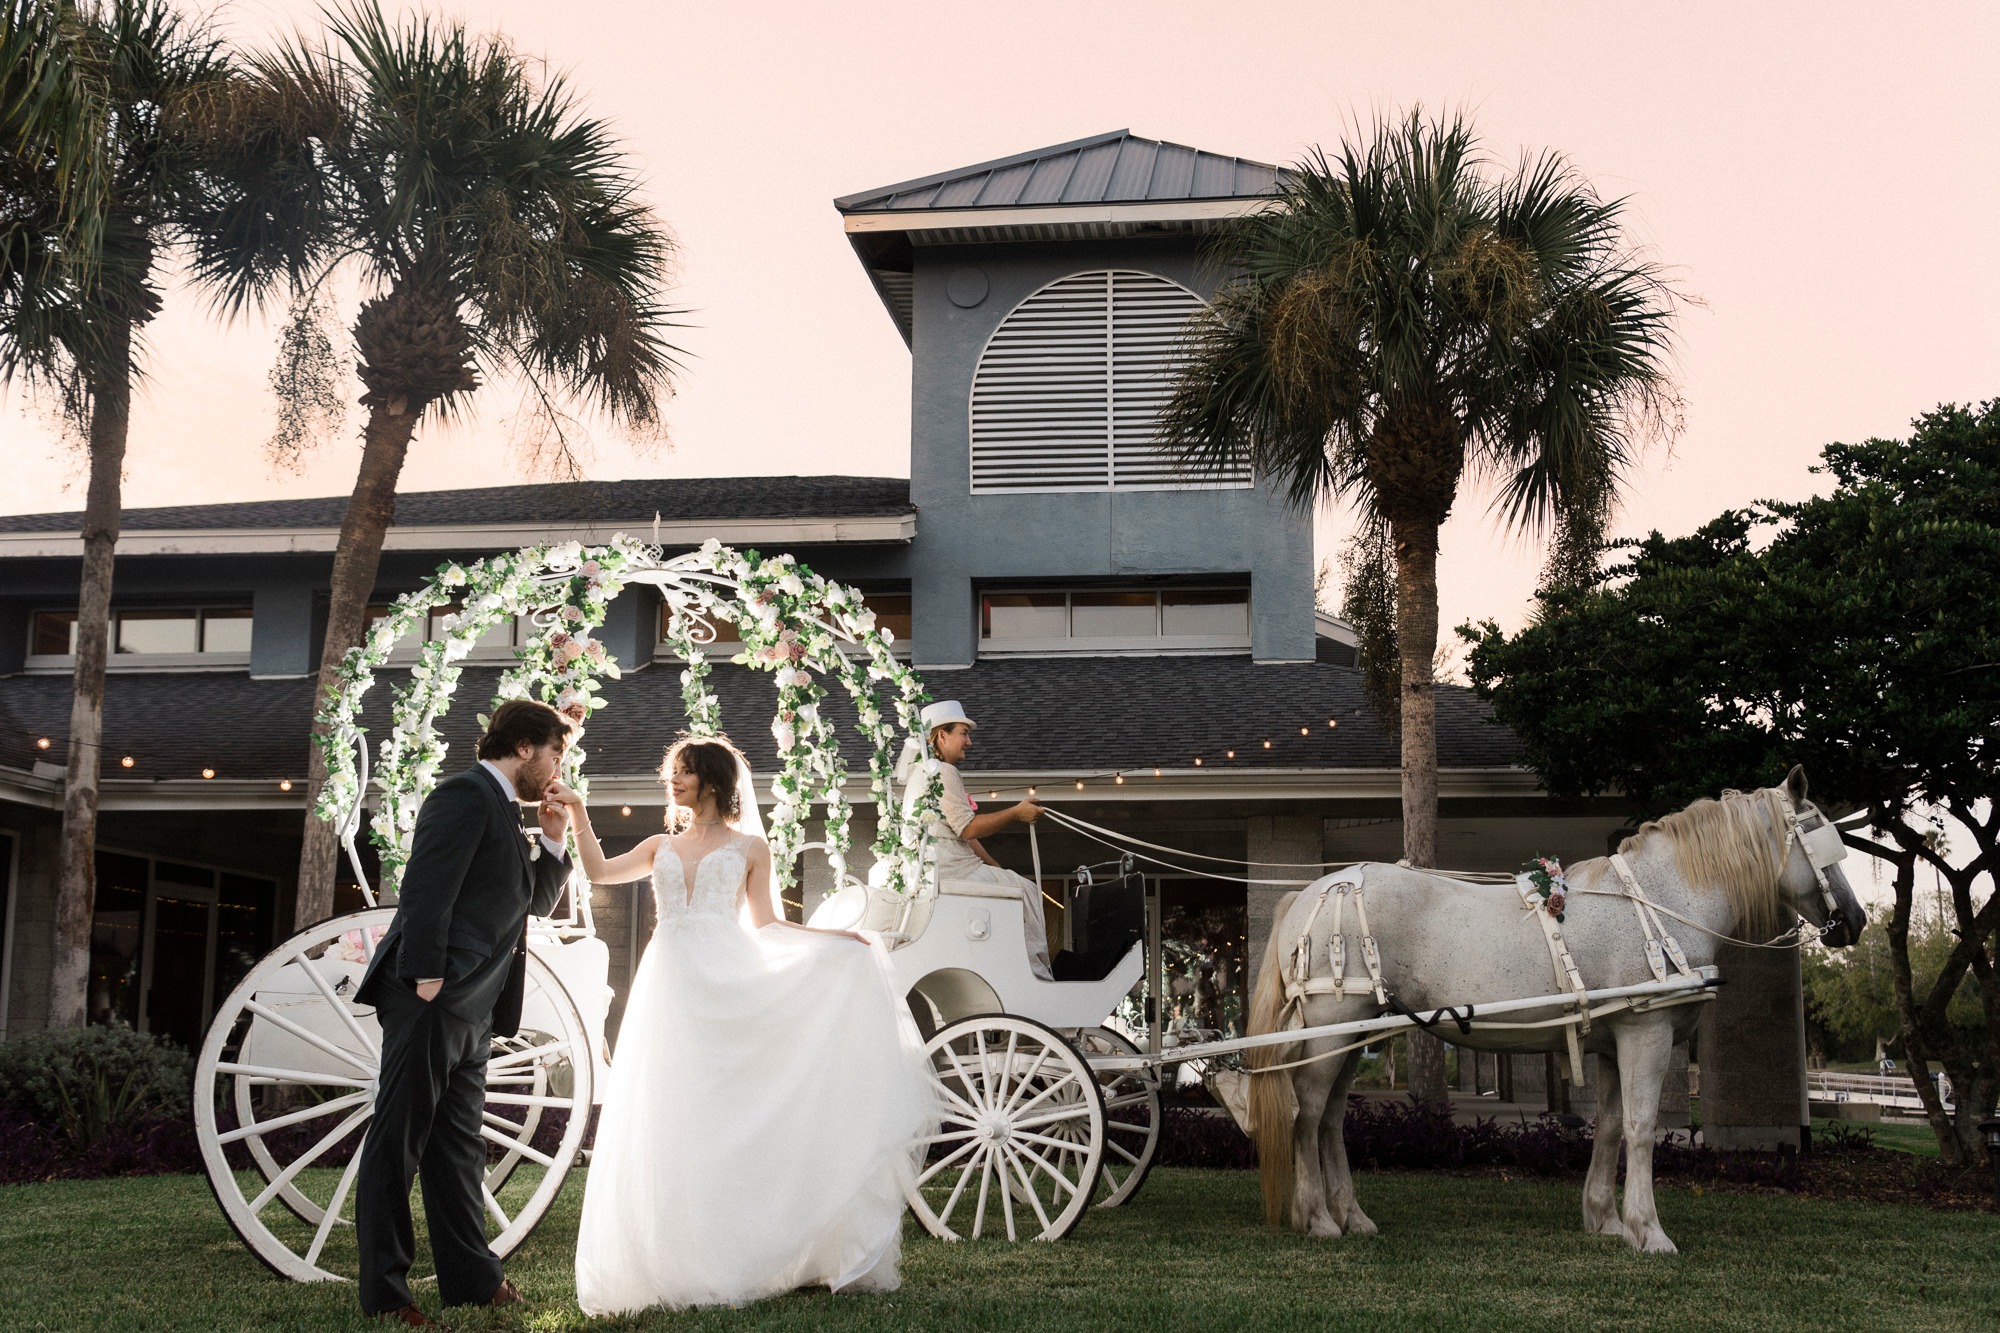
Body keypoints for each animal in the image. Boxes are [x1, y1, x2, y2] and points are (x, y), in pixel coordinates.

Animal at [1240, 764, 1864, 1248]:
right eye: (1820, 834)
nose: (1854, 920)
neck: (1659, 903)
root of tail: (1314, 892)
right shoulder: (1647, 1033)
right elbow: (1639, 1128)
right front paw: (1650, 1231)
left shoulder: (1613, 1042)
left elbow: (1608, 1127)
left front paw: (1607, 1221)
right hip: (1330, 1028)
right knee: (1307, 1114)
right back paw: (1317, 1219)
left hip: (1355, 1030)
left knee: (1331, 1118)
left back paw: (1352, 1216)